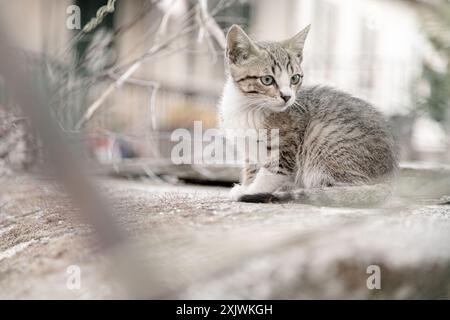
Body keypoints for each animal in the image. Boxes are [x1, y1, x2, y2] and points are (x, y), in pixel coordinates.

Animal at [218, 23, 398, 206]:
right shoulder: (251, 151)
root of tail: (390, 179)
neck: (248, 107)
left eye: (295, 78)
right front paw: (247, 185)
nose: (287, 96)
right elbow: (251, 169)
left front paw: (251, 190)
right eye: (267, 80)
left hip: (322, 138)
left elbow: (271, 174)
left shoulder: (285, 146)